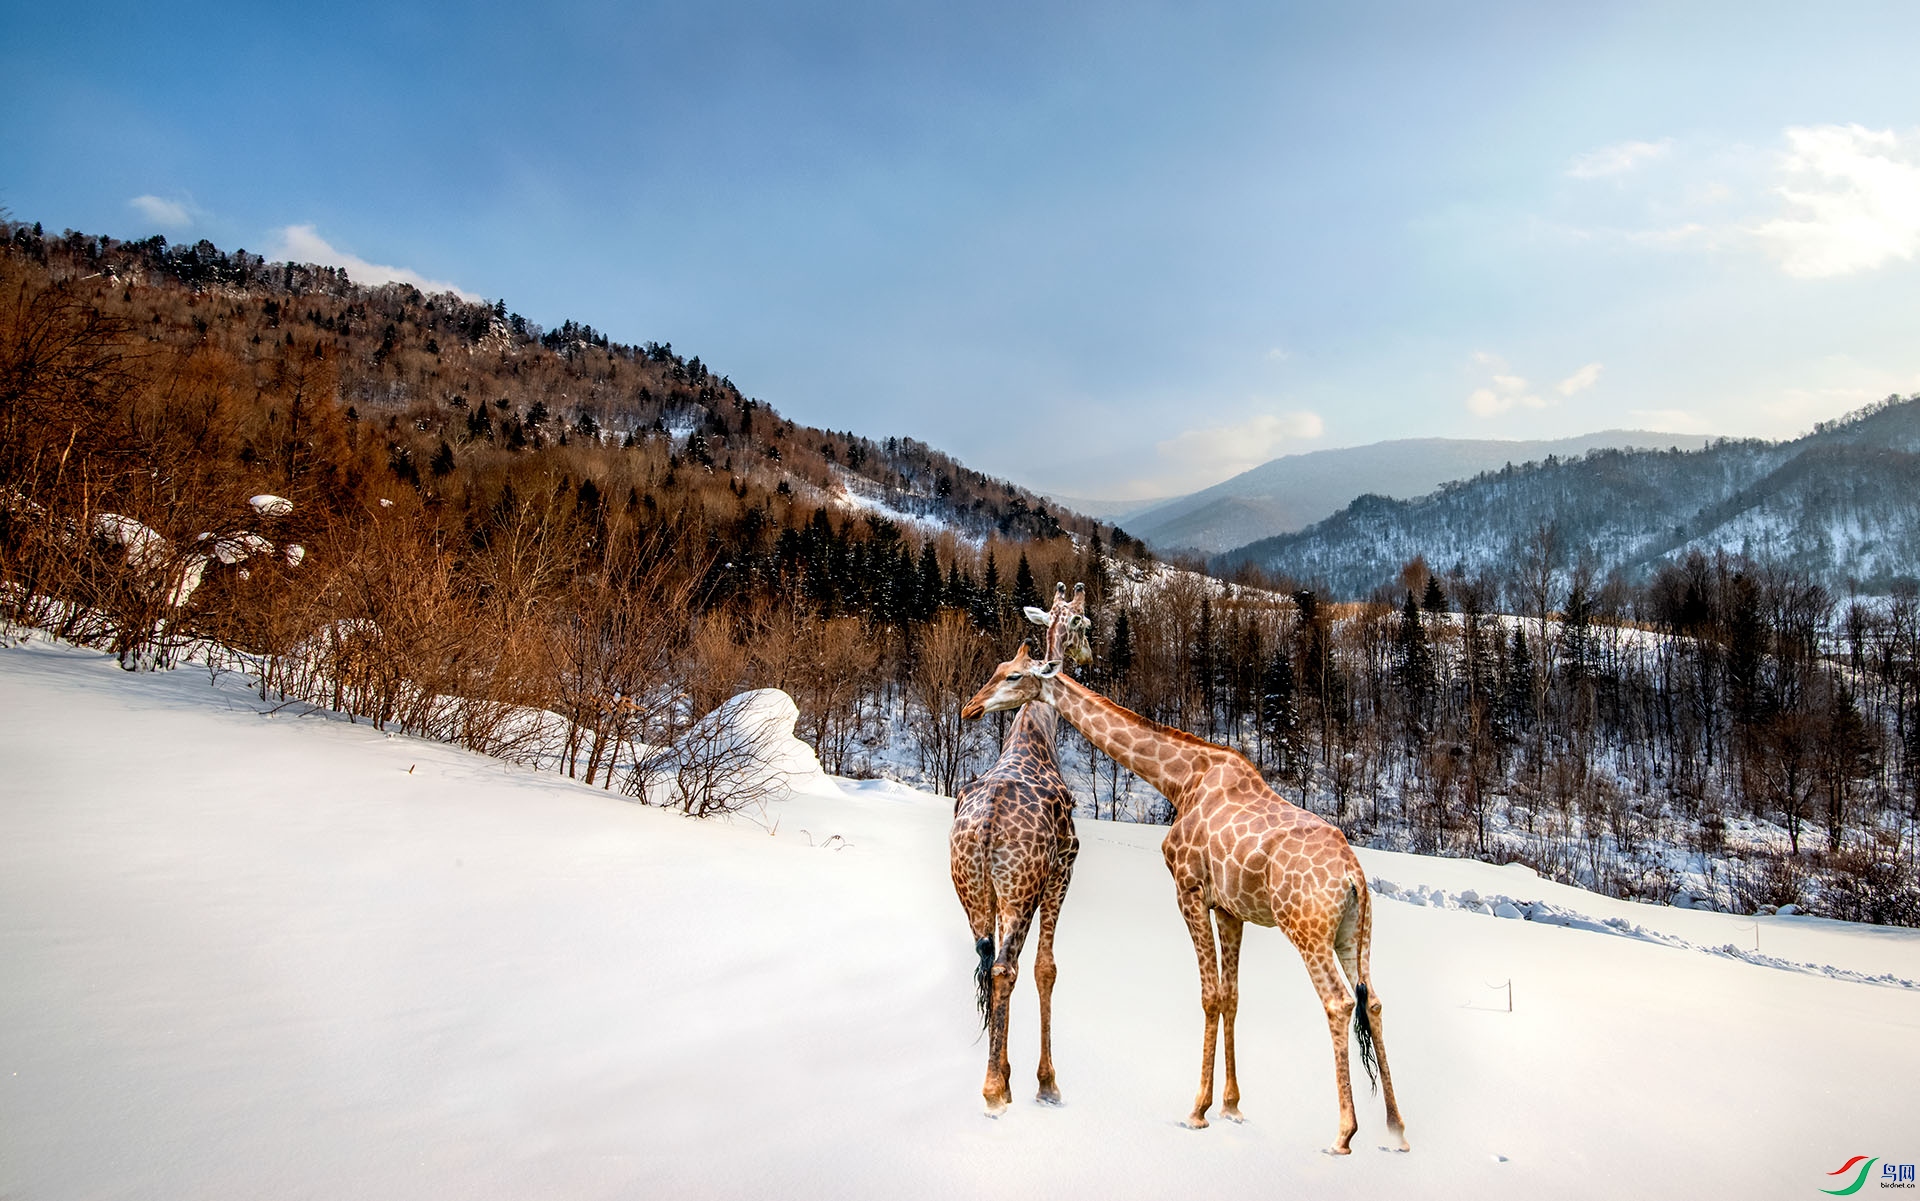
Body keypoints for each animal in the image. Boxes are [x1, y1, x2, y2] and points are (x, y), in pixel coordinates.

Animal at [948, 579, 1090, 1112]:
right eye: (1084, 624)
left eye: (1004, 671)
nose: (969, 708)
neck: (1036, 729)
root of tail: (986, 826)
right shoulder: (1063, 868)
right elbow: (1046, 968)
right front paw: (1046, 1082)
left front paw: (1013, 1072)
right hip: (1019, 890)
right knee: (1006, 967)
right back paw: (994, 1090)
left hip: (973, 890)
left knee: (987, 964)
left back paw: (996, 1079)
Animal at [967, 644, 1405, 1151]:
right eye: (997, 669)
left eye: (1013, 676)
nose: (971, 707)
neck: (1179, 779)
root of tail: (1352, 876)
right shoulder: (1232, 911)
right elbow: (1231, 996)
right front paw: (1231, 1106)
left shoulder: (1189, 890)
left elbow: (1208, 995)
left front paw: (1198, 1110)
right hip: (1354, 932)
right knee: (1373, 1001)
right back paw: (1397, 1130)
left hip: (1308, 931)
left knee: (1338, 1002)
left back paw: (1343, 1133)